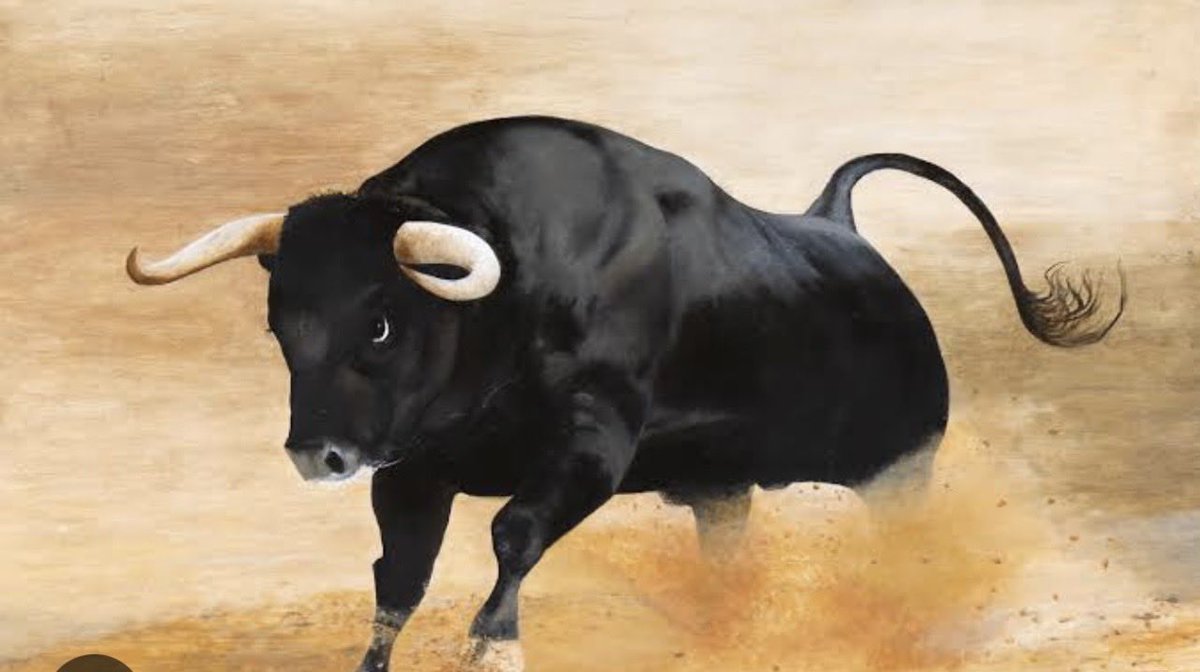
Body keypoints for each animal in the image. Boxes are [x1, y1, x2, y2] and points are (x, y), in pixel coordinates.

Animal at [125, 116, 1124, 671]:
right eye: (279, 325)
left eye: (378, 322)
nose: (317, 454)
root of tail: (839, 227)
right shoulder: (412, 468)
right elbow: (397, 577)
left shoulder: (590, 446)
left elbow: (513, 533)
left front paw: (496, 648)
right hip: (724, 488)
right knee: (727, 552)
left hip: (902, 471)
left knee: (902, 547)